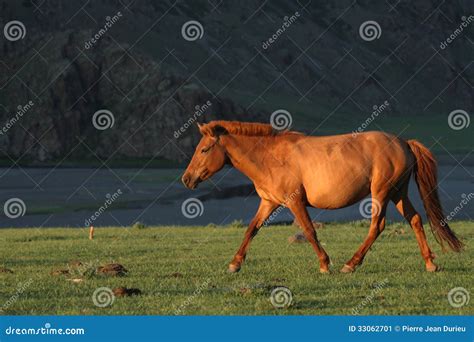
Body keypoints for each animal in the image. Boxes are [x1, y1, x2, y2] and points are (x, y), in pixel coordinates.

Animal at [181, 121, 462, 274]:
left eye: (204, 149)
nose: (186, 179)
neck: (270, 156)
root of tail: (403, 142)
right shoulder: (269, 203)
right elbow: (251, 229)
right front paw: (235, 264)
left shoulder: (294, 201)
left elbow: (308, 230)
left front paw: (325, 264)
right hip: (398, 193)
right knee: (414, 220)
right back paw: (430, 263)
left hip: (381, 193)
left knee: (378, 226)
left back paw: (351, 264)